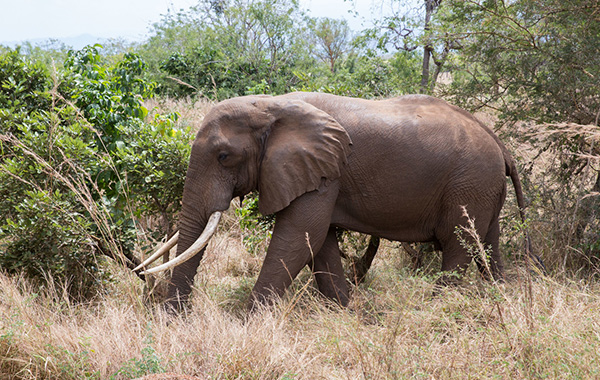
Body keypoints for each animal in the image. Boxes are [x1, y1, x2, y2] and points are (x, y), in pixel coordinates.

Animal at [134, 91, 532, 312]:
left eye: (223, 157)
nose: (174, 319)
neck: (271, 106)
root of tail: (500, 144)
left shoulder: (325, 170)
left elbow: (299, 235)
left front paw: (245, 322)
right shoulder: (319, 172)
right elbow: (319, 240)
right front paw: (344, 310)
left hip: (469, 183)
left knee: (459, 245)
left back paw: (436, 308)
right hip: (482, 187)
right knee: (487, 246)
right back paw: (500, 299)